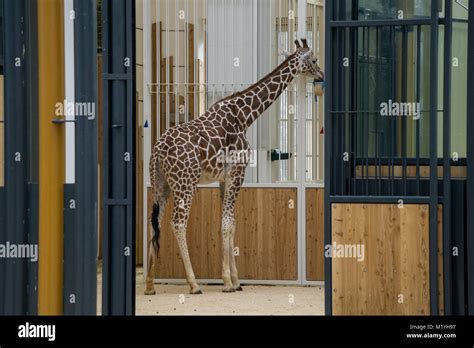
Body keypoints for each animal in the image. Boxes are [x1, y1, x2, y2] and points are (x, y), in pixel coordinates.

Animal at [143, 38, 324, 294]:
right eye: (314, 59)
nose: (321, 74)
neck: (245, 115)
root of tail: (158, 150)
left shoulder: (223, 178)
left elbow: (229, 224)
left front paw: (235, 280)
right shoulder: (238, 173)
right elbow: (228, 224)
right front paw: (228, 282)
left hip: (161, 184)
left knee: (155, 222)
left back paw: (149, 284)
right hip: (185, 184)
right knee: (177, 223)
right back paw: (193, 284)